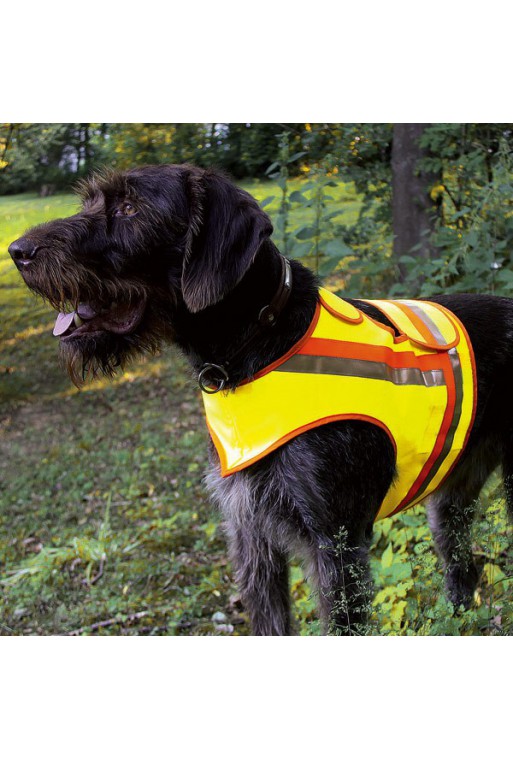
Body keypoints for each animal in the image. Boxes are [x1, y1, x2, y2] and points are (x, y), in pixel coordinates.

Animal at [7, 165, 512, 636]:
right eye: (91, 201)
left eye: (130, 208)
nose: (17, 251)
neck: (256, 346)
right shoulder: (250, 532)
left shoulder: (337, 545)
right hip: (450, 499)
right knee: (462, 569)